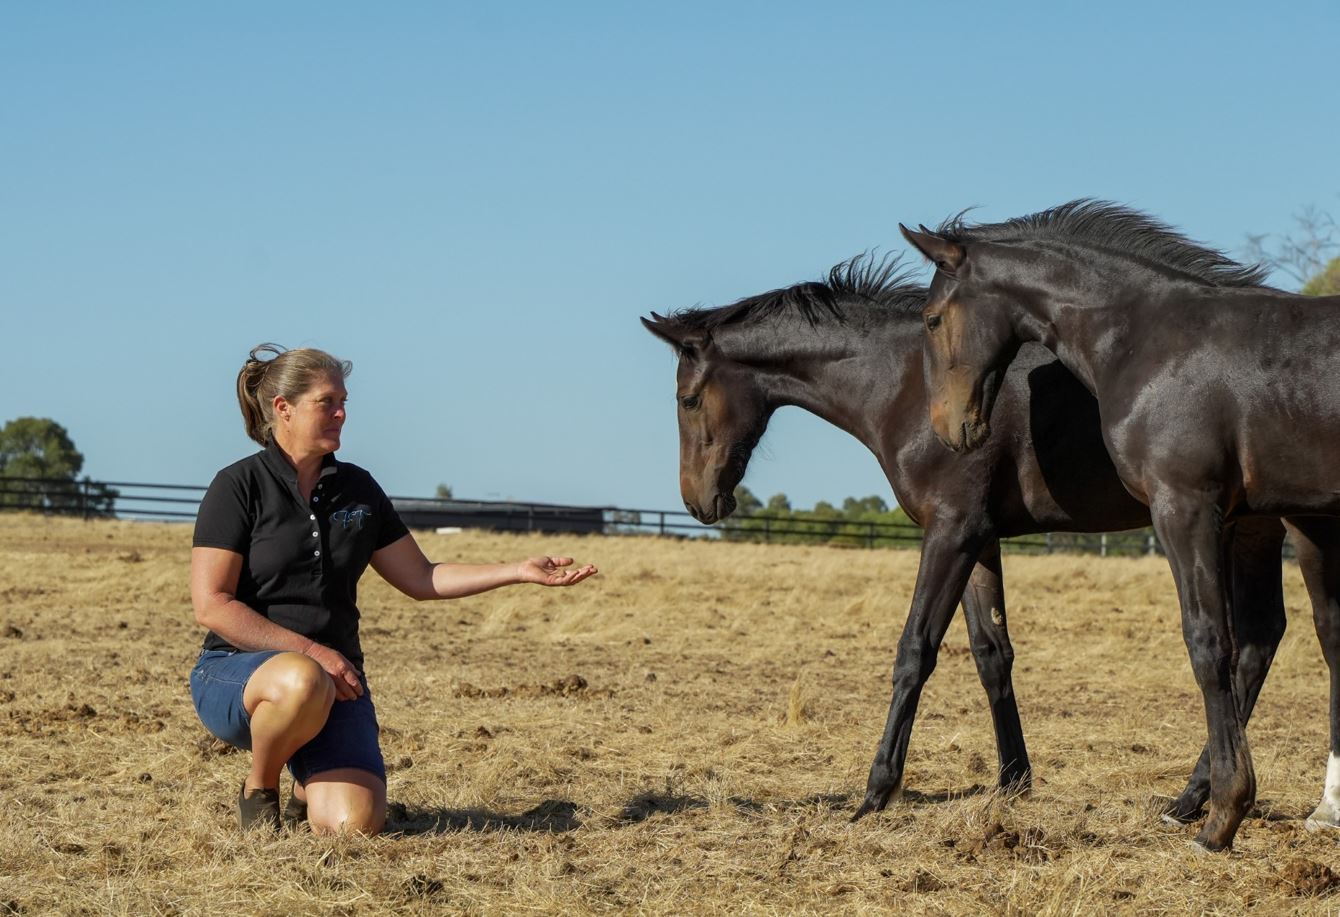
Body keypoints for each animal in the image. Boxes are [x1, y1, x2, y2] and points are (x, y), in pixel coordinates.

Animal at [643, 254, 1334, 836]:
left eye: (688, 398)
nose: (699, 503)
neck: (904, 380)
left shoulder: (949, 531)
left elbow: (915, 651)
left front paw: (875, 792)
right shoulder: (979, 537)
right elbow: (990, 653)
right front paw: (1013, 781)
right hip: (1253, 528)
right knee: (1260, 641)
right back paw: (1194, 799)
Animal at [911, 202, 1340, 852]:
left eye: (933, 319)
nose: (950, 429)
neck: (1148, 338)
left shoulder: (1184, 508)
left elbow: (1208, 642)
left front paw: (1223, 816)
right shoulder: (1232, 519)